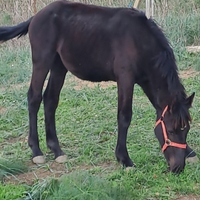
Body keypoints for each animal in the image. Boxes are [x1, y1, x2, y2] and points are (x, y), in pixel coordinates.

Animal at [0, 0, 197, 173]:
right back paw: (36, 151)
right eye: (170, 131)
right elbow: (124, 117)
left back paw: (56, 150)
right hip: (42, 61)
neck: (139, 40)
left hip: (59, 65)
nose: (177, 168)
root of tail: (36, 17)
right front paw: (124, 159)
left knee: (50, 100)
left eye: (186, 130)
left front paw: (189, 152)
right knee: (34, 98)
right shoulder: (125, 79)